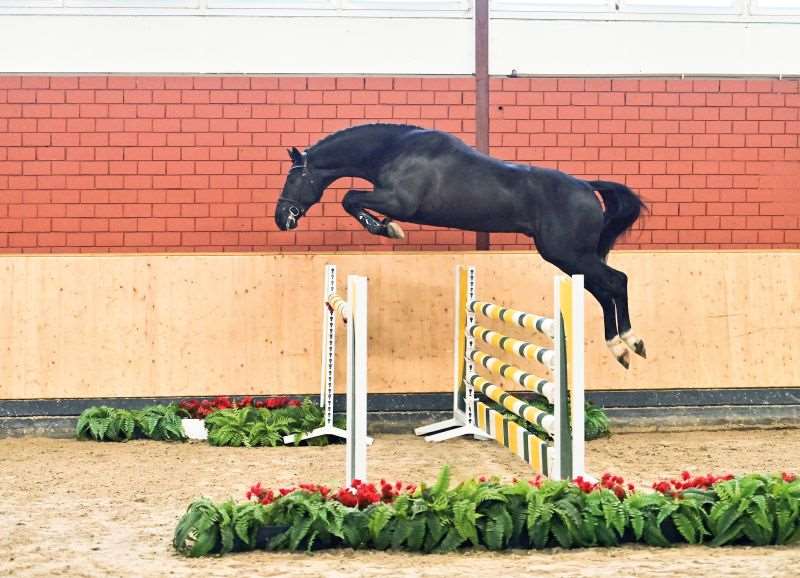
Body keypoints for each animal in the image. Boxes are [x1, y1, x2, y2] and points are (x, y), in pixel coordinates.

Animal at [275, 123, 646, 368]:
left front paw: (388, 229)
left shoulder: (399, 201)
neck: (394, 150)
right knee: (602, 291)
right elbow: (352, 199)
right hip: (567, 258)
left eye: (292, 177)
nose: (282, 218)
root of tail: (586, 186)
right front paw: (384, 227)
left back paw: (632, 342)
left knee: (617, 281)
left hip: (569, 254)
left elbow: (350, 198)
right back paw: (620, 349)